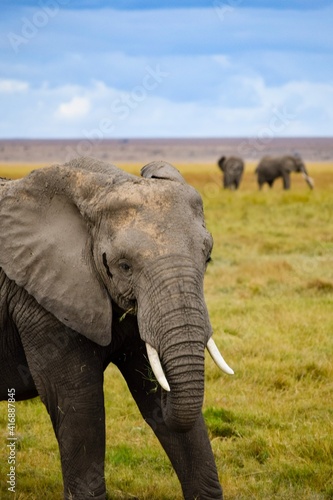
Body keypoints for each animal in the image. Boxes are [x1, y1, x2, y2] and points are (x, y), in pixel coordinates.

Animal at [0, 157, 233, 500]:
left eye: (208, 258)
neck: (101, 186)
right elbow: (78, 402)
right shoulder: (40, 301)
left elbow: (152, 394)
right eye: (124, 266)